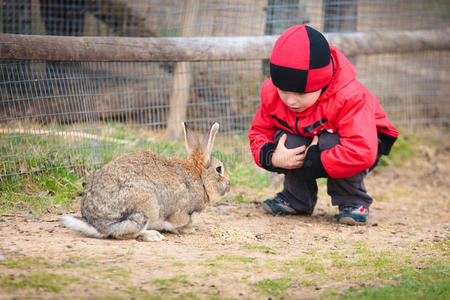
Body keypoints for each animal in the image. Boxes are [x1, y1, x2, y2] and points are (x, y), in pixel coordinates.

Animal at [61, 122, 230, 241]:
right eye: (219, 169)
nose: (228, 185)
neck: (201, 178)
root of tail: (96, 224)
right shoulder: (182, 212)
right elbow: (177, 223)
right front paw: (189, 230)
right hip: (146, 207)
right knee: (123, 233)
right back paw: (153, 235)